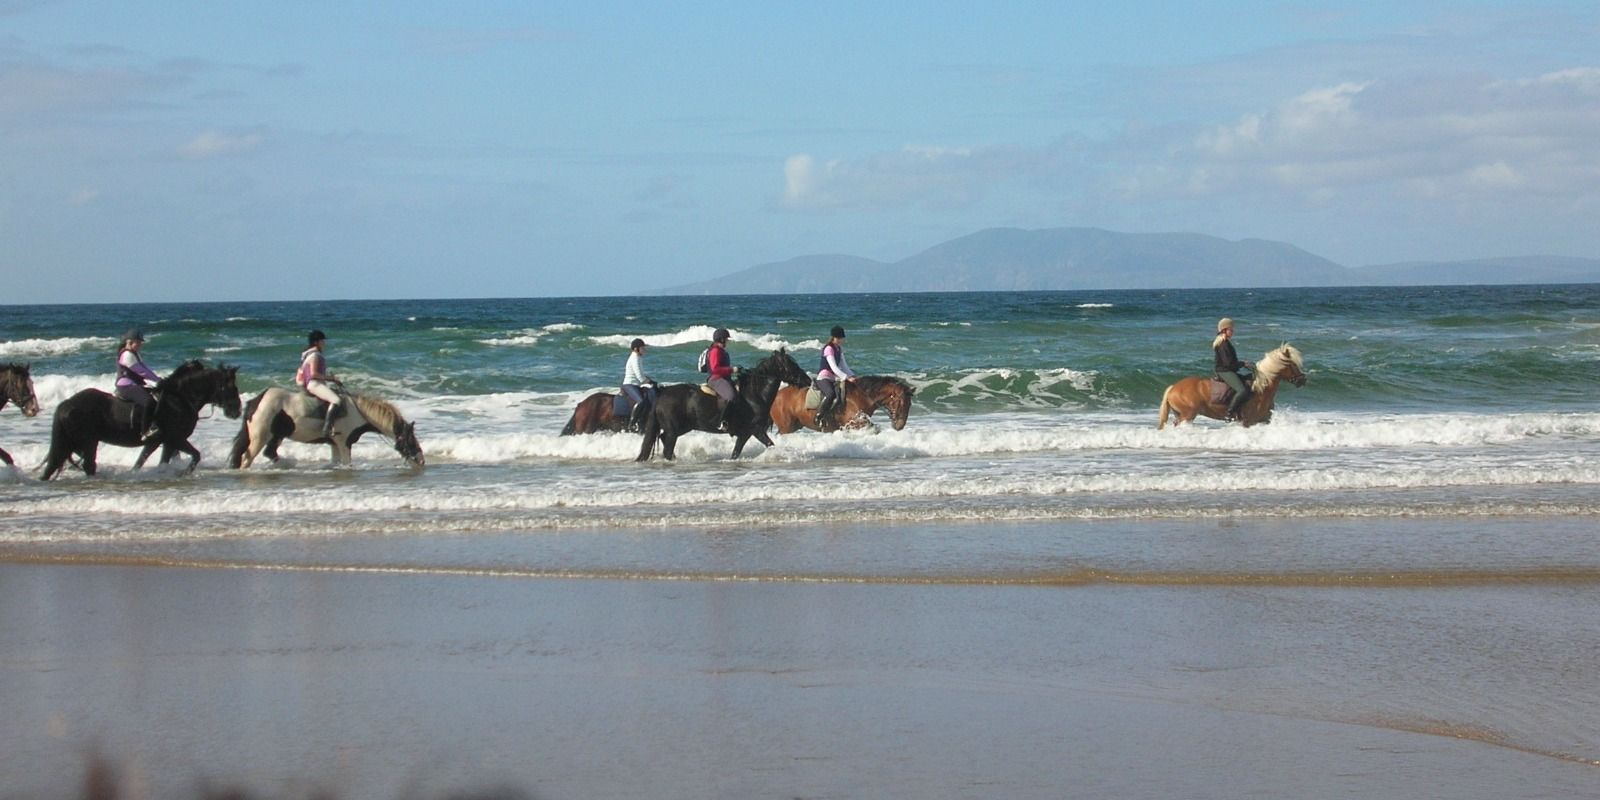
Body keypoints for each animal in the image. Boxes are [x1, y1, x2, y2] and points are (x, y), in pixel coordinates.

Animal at [39, 363, 240, 480]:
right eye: (229, 386)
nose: (236, 410)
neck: (180, 398)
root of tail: (66, 404)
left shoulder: (160, 442)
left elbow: (145, 462)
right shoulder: (175, 439)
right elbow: (196, 455)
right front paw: (184, 473)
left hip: (73, 443)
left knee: (53, 465)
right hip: (88, 442)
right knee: (88, 465)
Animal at [228, 387, 425, 467]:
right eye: (411, 440)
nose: (421, 461)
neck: (358, 412)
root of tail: (256, 401)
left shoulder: (334, 444)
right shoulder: (344, 443)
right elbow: (347, 463)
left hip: (276, 435)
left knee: (269, 452)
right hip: (259, 437)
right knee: (247, 459)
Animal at [636, 345, 812, 464]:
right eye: (790, 365)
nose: (808, 380)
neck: (755, 395)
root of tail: (662, 393)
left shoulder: (746, 433)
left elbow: (737, 453)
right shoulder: (754, 430)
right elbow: (769, 445)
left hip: (682, 427)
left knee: (664, 439)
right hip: (674, 429)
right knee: (667, 446)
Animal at [771, 372, 921, 432]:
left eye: (910, 404)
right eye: (902, 403)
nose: (900, 426)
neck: (862, 395)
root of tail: (777, 395)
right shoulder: (855, 423)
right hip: (786, 427)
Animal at [1158, 345, 1305, 432]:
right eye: (1292, 364)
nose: (1303, 380)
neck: (1260, 390)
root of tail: (1173, 387)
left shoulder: (1264, 420)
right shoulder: (1248, 422)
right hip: (1187, 416)